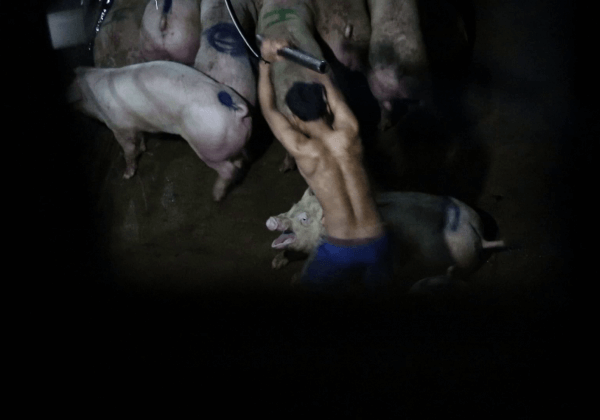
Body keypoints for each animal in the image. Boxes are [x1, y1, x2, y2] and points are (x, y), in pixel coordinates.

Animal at [67, 60, 251, 202]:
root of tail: (237, 110)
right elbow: (140, 138)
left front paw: (126, 175)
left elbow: (128, 150)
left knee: (227, 169)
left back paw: (216, 197)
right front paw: (143, 149)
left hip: (208, 145)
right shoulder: (137, 123)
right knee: (239, 159)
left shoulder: (120, 126)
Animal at [264, 189, 504, 282]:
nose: (273, 219)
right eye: (292, 207)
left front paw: (295, 279)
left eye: (304, 219)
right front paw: (276, 265)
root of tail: (479, 235)